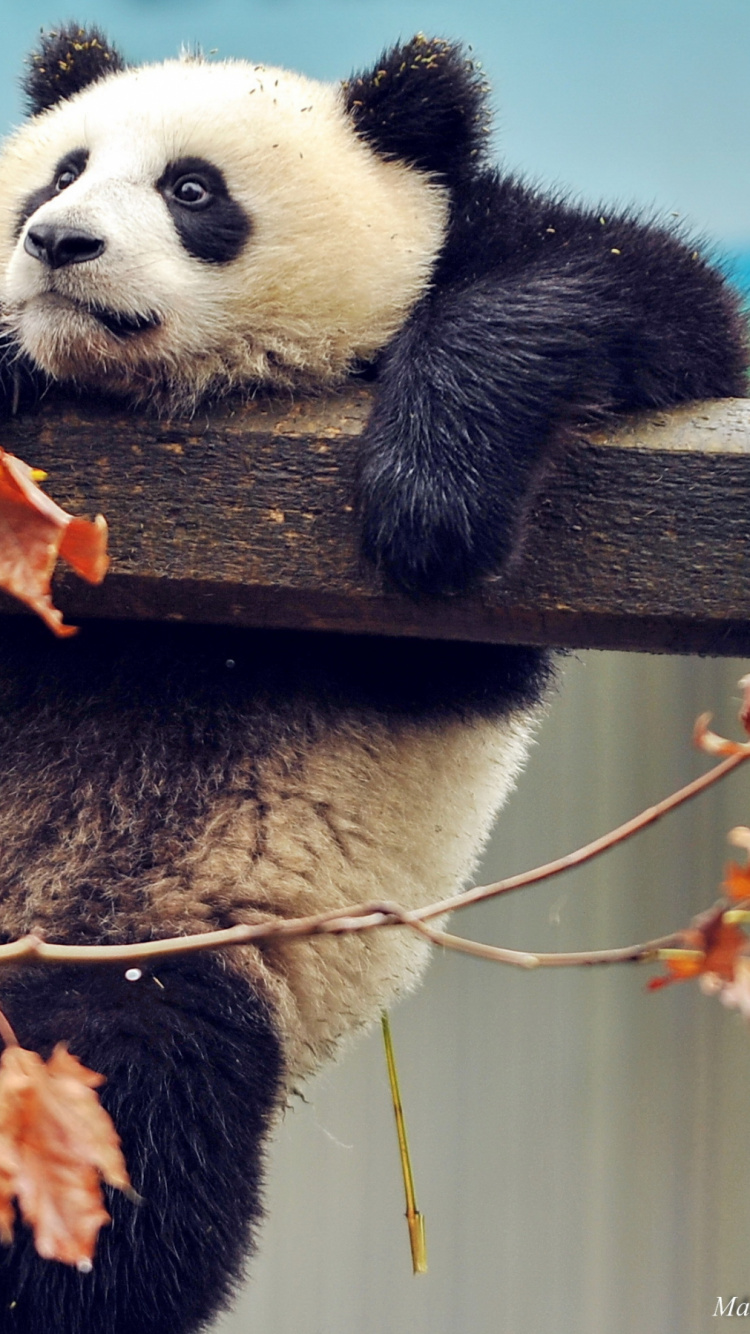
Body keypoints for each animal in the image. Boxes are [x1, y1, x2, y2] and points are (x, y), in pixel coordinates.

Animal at [0, 20, 736, 1334]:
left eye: (194, 191)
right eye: (58, 172)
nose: (57, 243)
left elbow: (637, 288)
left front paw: (430, 498)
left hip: (170, 951)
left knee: (125, 1122)